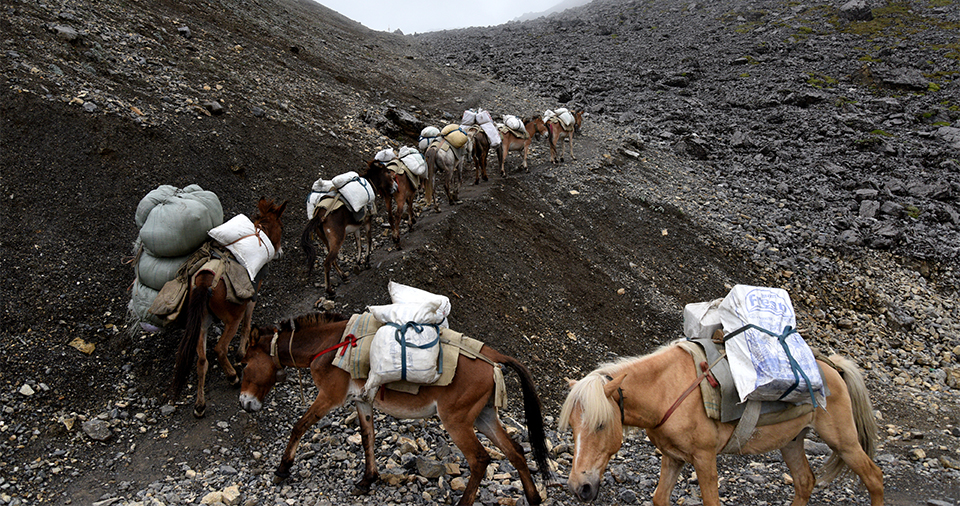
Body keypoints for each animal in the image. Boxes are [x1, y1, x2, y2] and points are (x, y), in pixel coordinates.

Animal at [172, 199, 284, 420]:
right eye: (282, 228)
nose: (281, 253)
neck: (259, 231)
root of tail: (204, 279)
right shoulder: (252, 296)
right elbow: (247, 324)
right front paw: (241, 354)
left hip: (202, 322)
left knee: (202, 360)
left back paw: (200, 405)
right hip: (231, 318)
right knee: (219, 349)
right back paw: (232, 377)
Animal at [560, 340, 880, 506]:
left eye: (600, 426)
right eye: (573, 428)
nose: (580, 487)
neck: (667, 390)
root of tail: (834, 367)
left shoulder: (704, 459)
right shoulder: (673, 457)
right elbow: (660, 498)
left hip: (843, 440)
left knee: (874, 478)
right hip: (793, 440)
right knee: (804, 481)